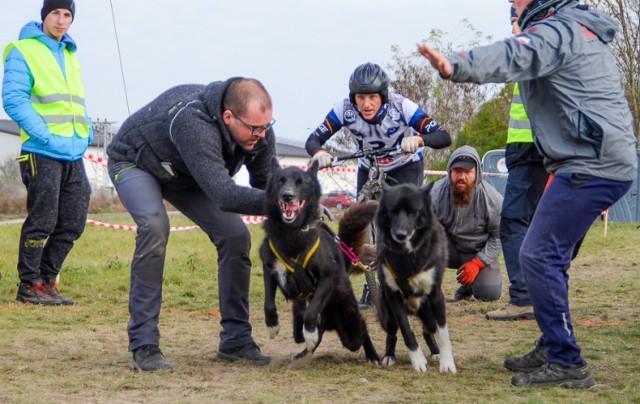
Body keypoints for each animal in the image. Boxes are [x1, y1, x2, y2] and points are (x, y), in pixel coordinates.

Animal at [260, 162, 380, 362]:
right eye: (280, 181)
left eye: (300, 182)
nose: (287, 195)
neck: (291, 233)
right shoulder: (270, 269)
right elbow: (268, 303)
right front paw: (272, 326)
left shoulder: (327, 277)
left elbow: (312, 311)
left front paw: (310, 333)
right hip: (298, 316)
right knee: (304, 334)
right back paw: (305, 349)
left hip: (349, 324)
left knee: (361, 333)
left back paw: (374, 356)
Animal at [372, 182, 458, 372]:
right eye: (392, 211)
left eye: (413, 212)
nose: (400, 234)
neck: (408, 253)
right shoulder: (393, 297)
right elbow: (406, 330)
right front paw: (417, 359)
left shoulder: (436, 295)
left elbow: (444, 333)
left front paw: (447, 362)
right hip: (387, 315)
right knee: (392, 333)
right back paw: (389, 355)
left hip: (428, 313)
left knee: (428, 330)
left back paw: (436, 353)